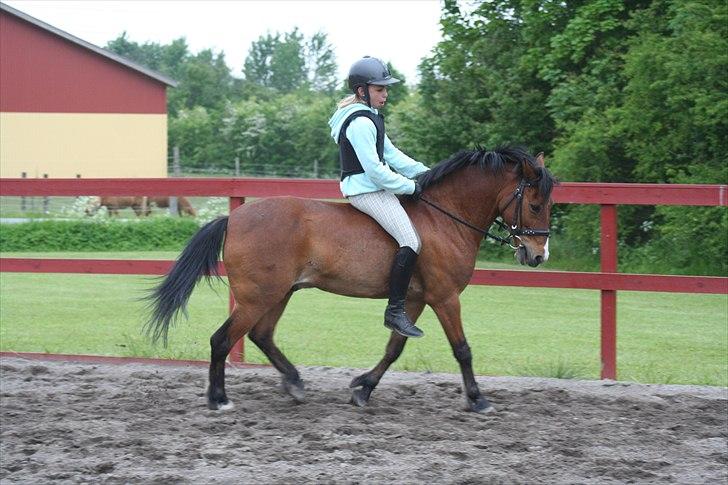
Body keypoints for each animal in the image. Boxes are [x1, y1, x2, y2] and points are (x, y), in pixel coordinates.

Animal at [145, 145, 556, 412]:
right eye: (536, 205)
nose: (537, 256)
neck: (445, 217)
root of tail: (234, 217)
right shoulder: (444, 297)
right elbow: (463, 349)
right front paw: (479, 399)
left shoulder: (413, 300)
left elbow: (394, 348)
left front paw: (363, 389)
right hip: (257, 296)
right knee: (222, 340)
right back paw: (219, 400)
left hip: (279, 293)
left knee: (261, 335)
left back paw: (294, 383)